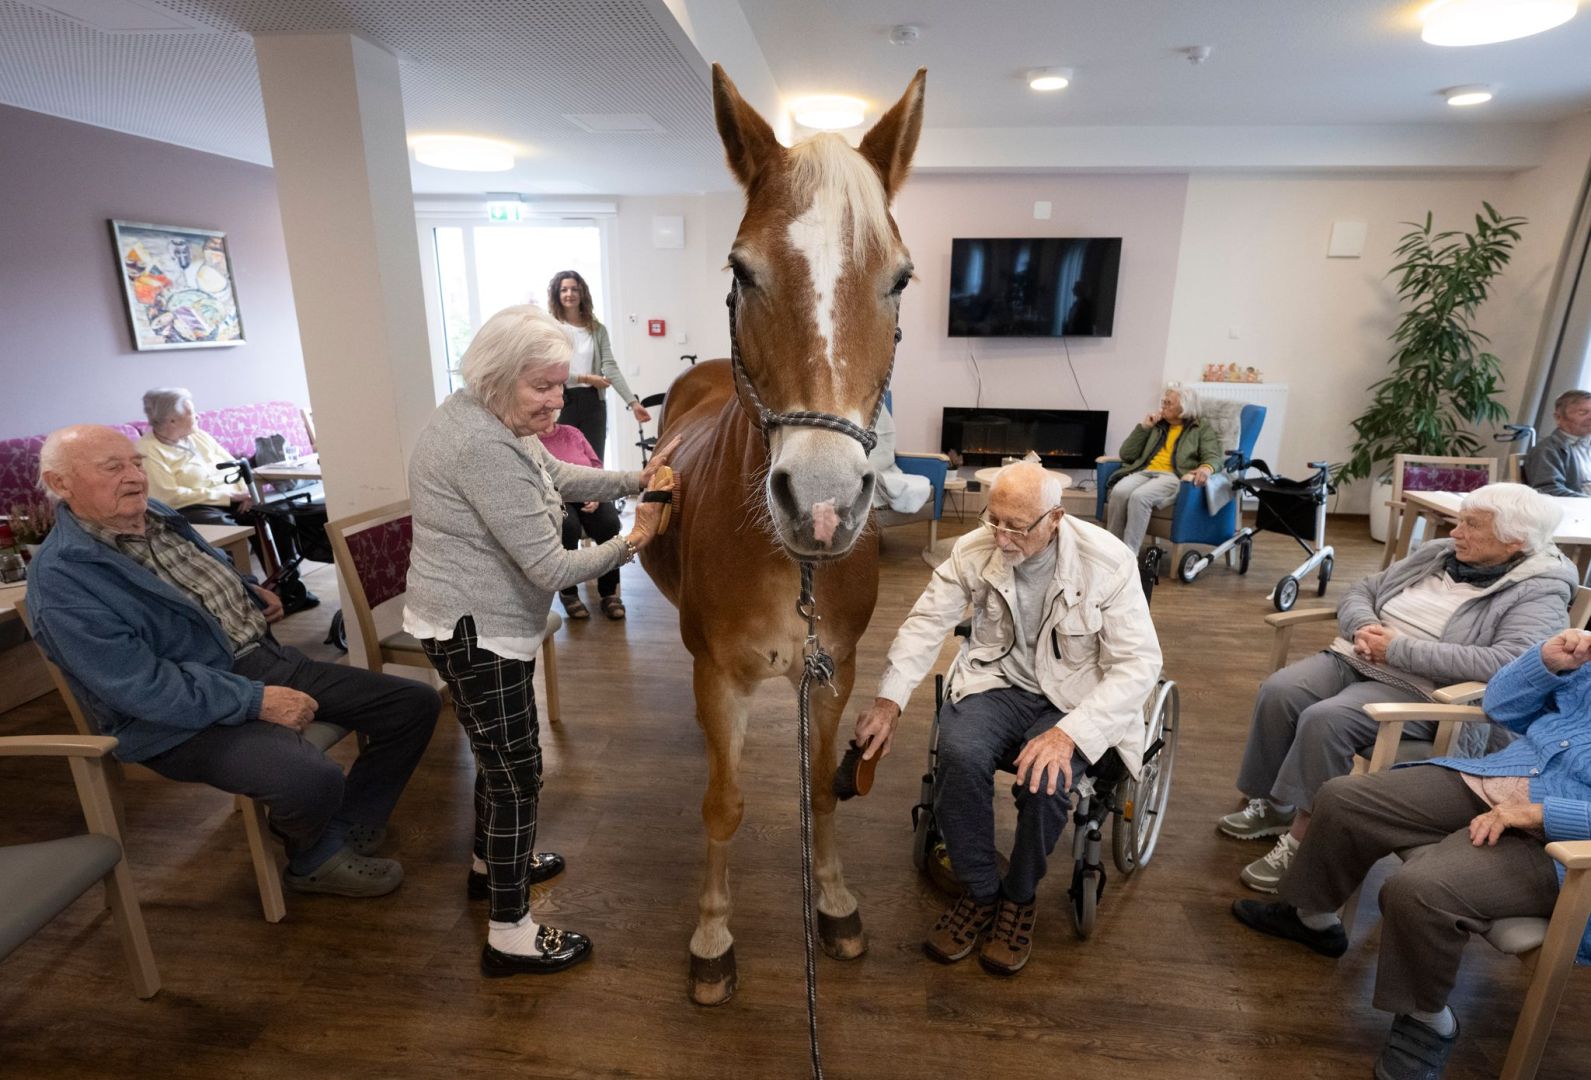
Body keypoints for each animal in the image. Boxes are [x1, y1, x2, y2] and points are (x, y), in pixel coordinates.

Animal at [641, 63, 926, 1006]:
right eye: (742, 270)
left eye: (900, 279)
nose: (824, 503)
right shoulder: (721, 677)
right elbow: (723, 804)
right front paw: (712, 935)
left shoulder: (833, 670)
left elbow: (823, 793)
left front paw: (832, 902)